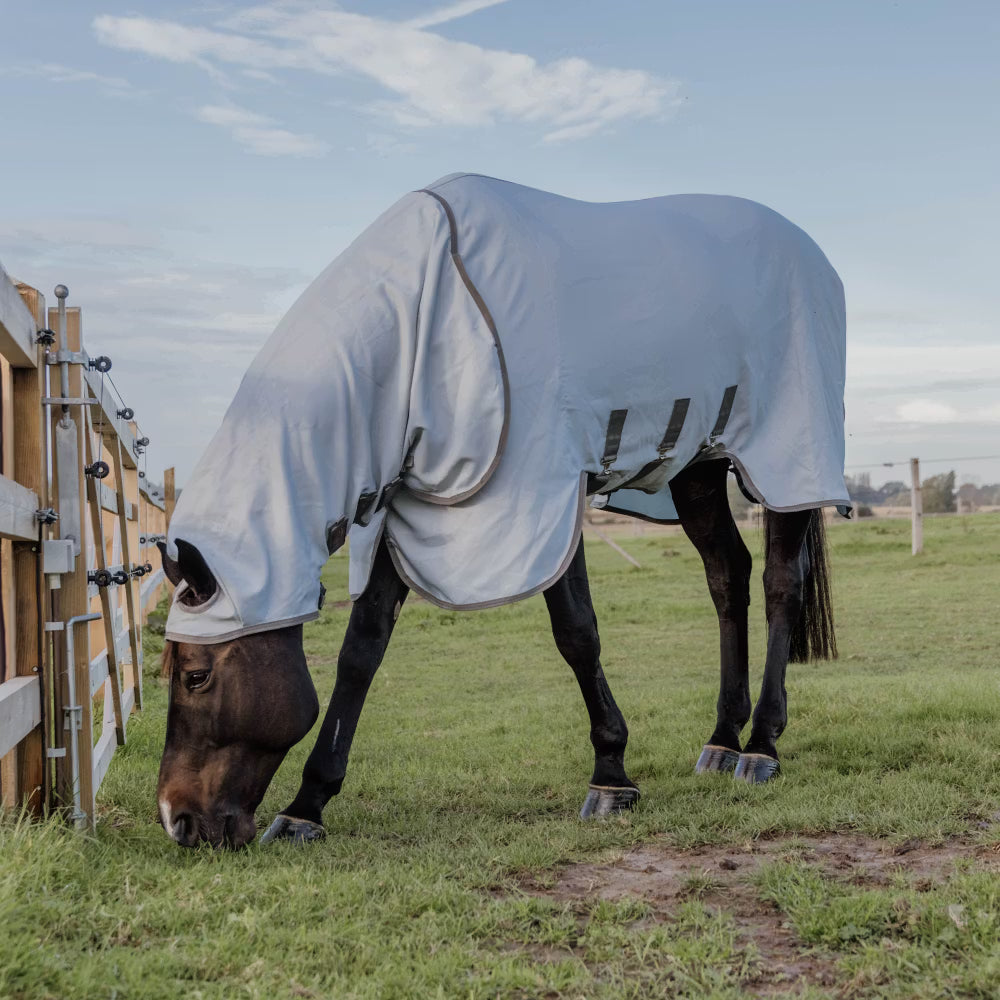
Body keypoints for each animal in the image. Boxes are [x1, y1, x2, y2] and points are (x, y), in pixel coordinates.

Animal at [156, 173, 847, 849]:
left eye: (195, 676)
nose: (179, 821)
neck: (425, 319)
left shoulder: (543, 494)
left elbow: (577, 633)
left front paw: (611, 777)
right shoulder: (408, 506)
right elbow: (361, 651)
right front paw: (307, 807)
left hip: (787, 459)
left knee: (780, 582)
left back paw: (761, 746)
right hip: (700, 466)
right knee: (727, 576)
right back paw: (722, 741)